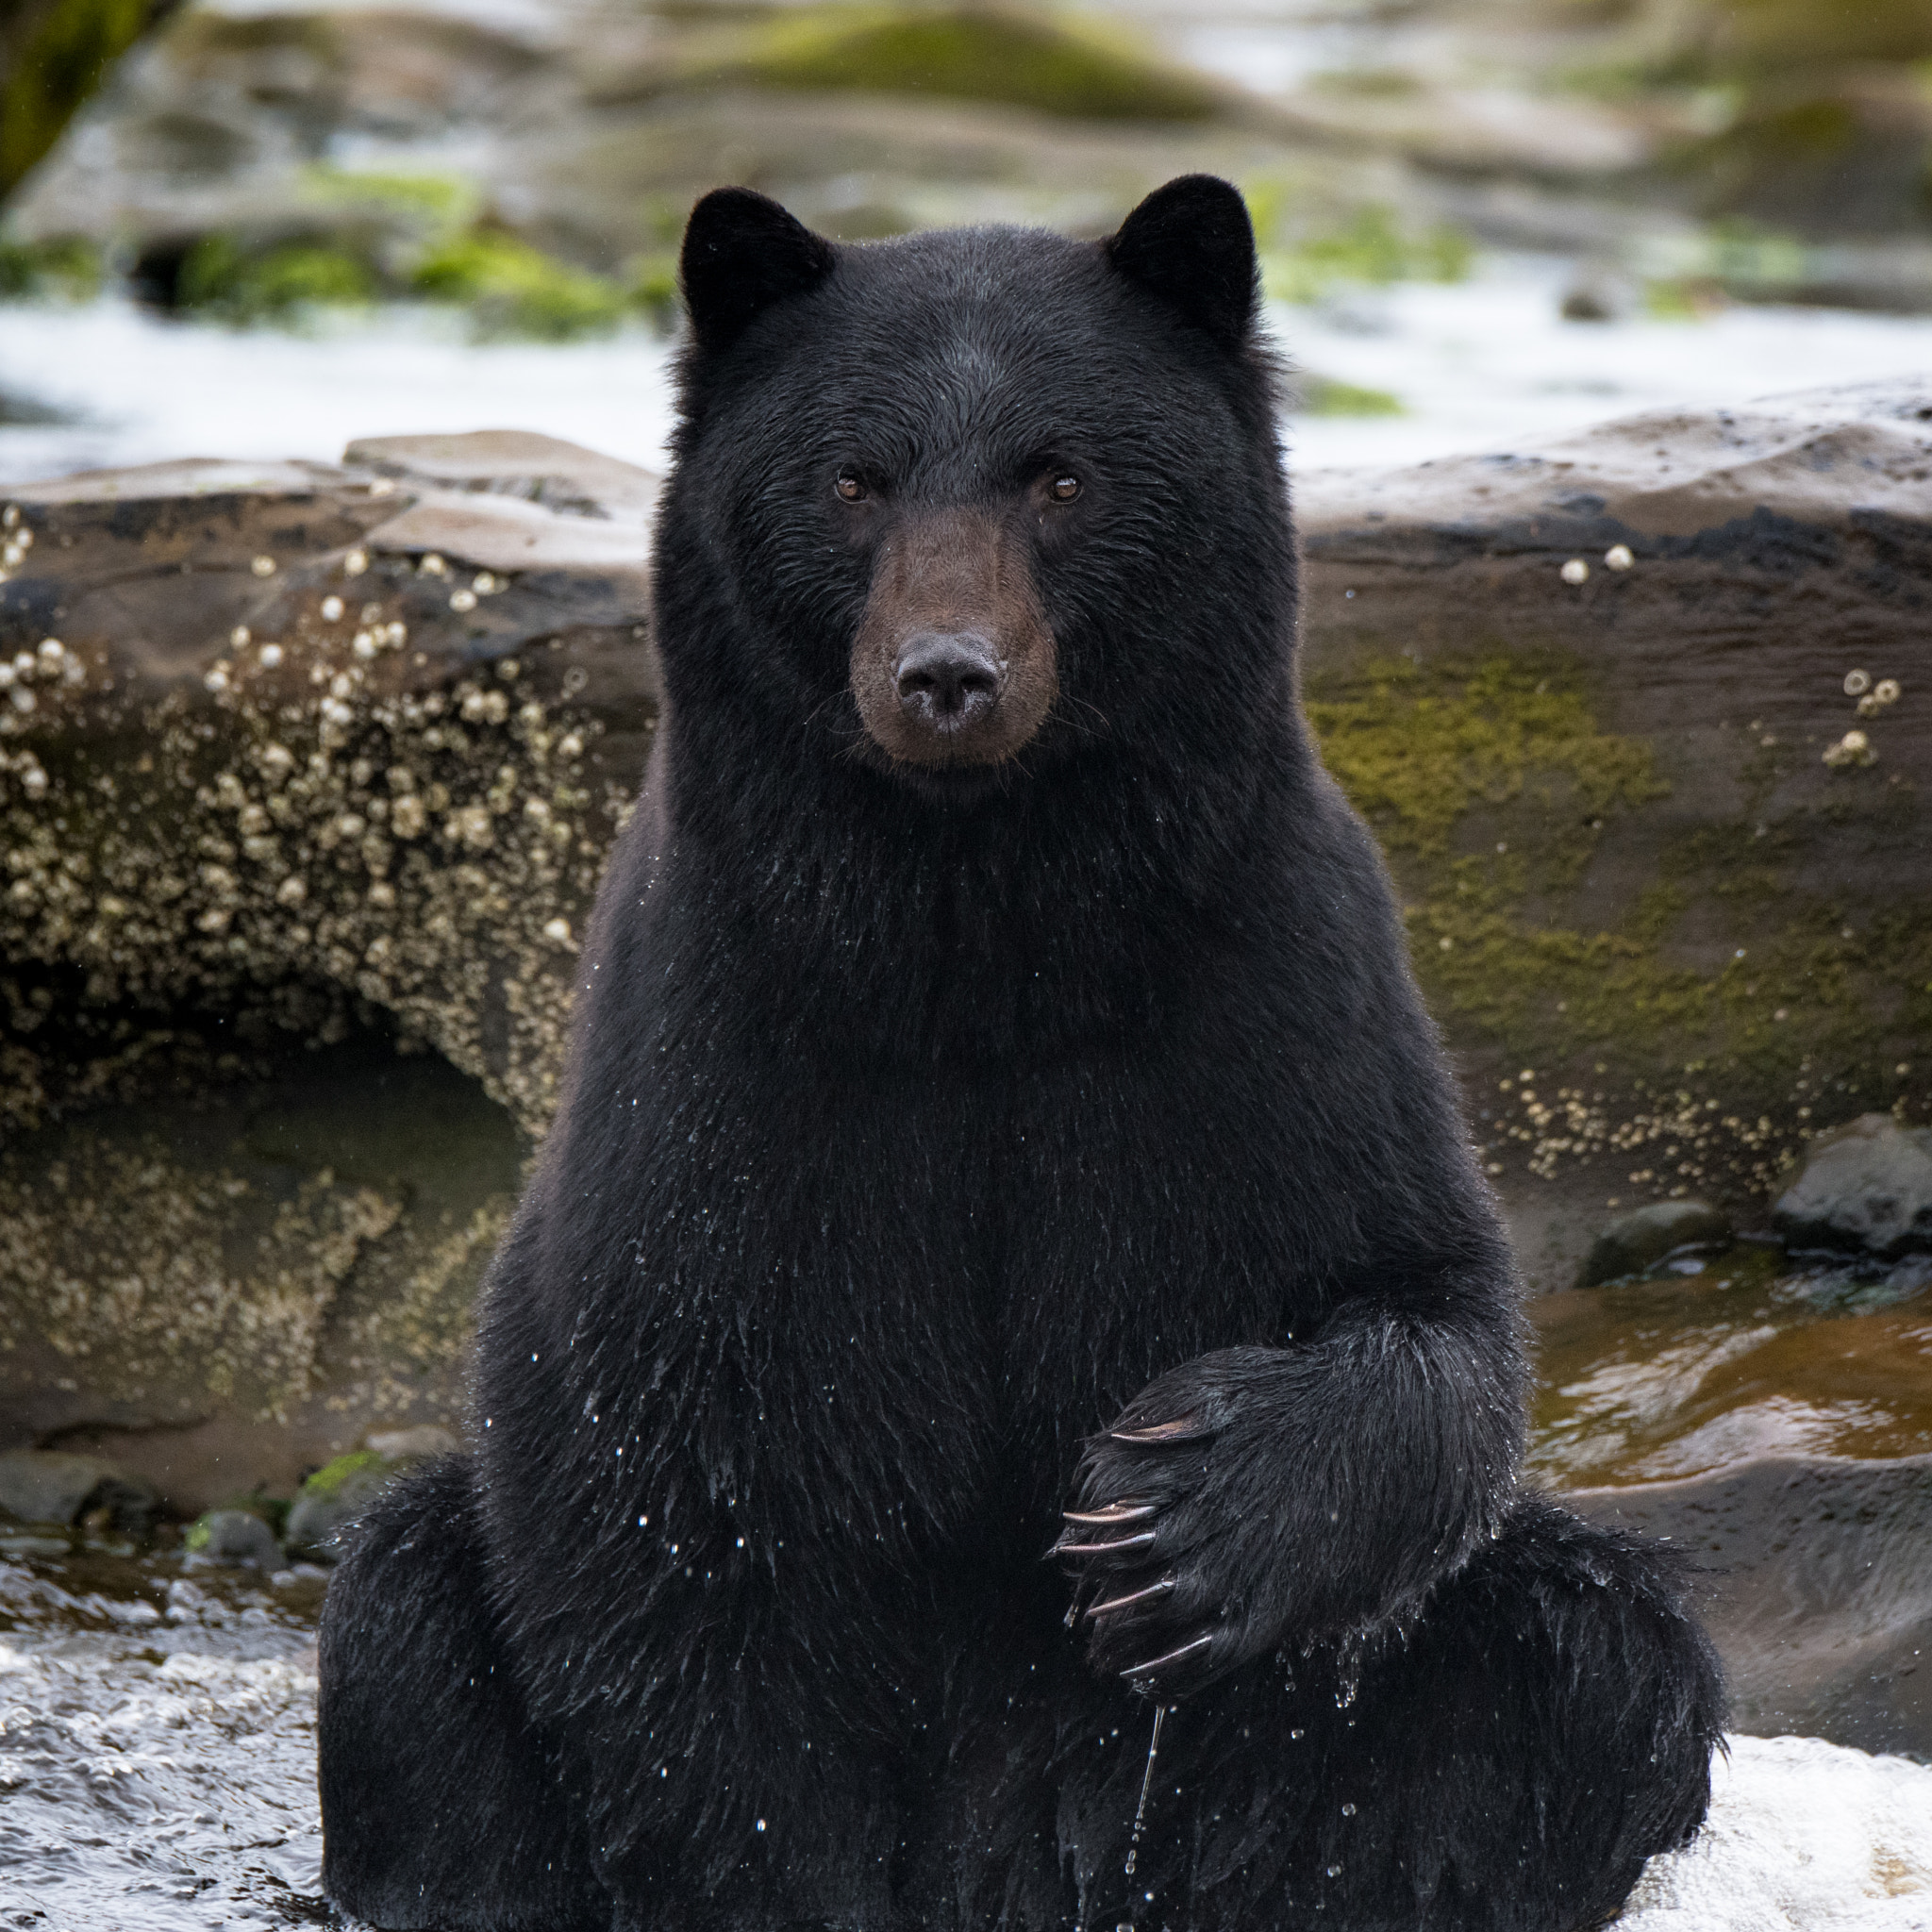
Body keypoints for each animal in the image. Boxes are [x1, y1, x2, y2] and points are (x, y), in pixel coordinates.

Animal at [316, 174, 1723, 1924]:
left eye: (1061, 476)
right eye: (852, 478)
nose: (946, 675)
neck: (981, 945)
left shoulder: (1268, 990)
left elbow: (1423, 1302)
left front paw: (1173, 1509)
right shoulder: (724, 1058)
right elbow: (683, 1505)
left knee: (1591, 1667)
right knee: (400, 1624)